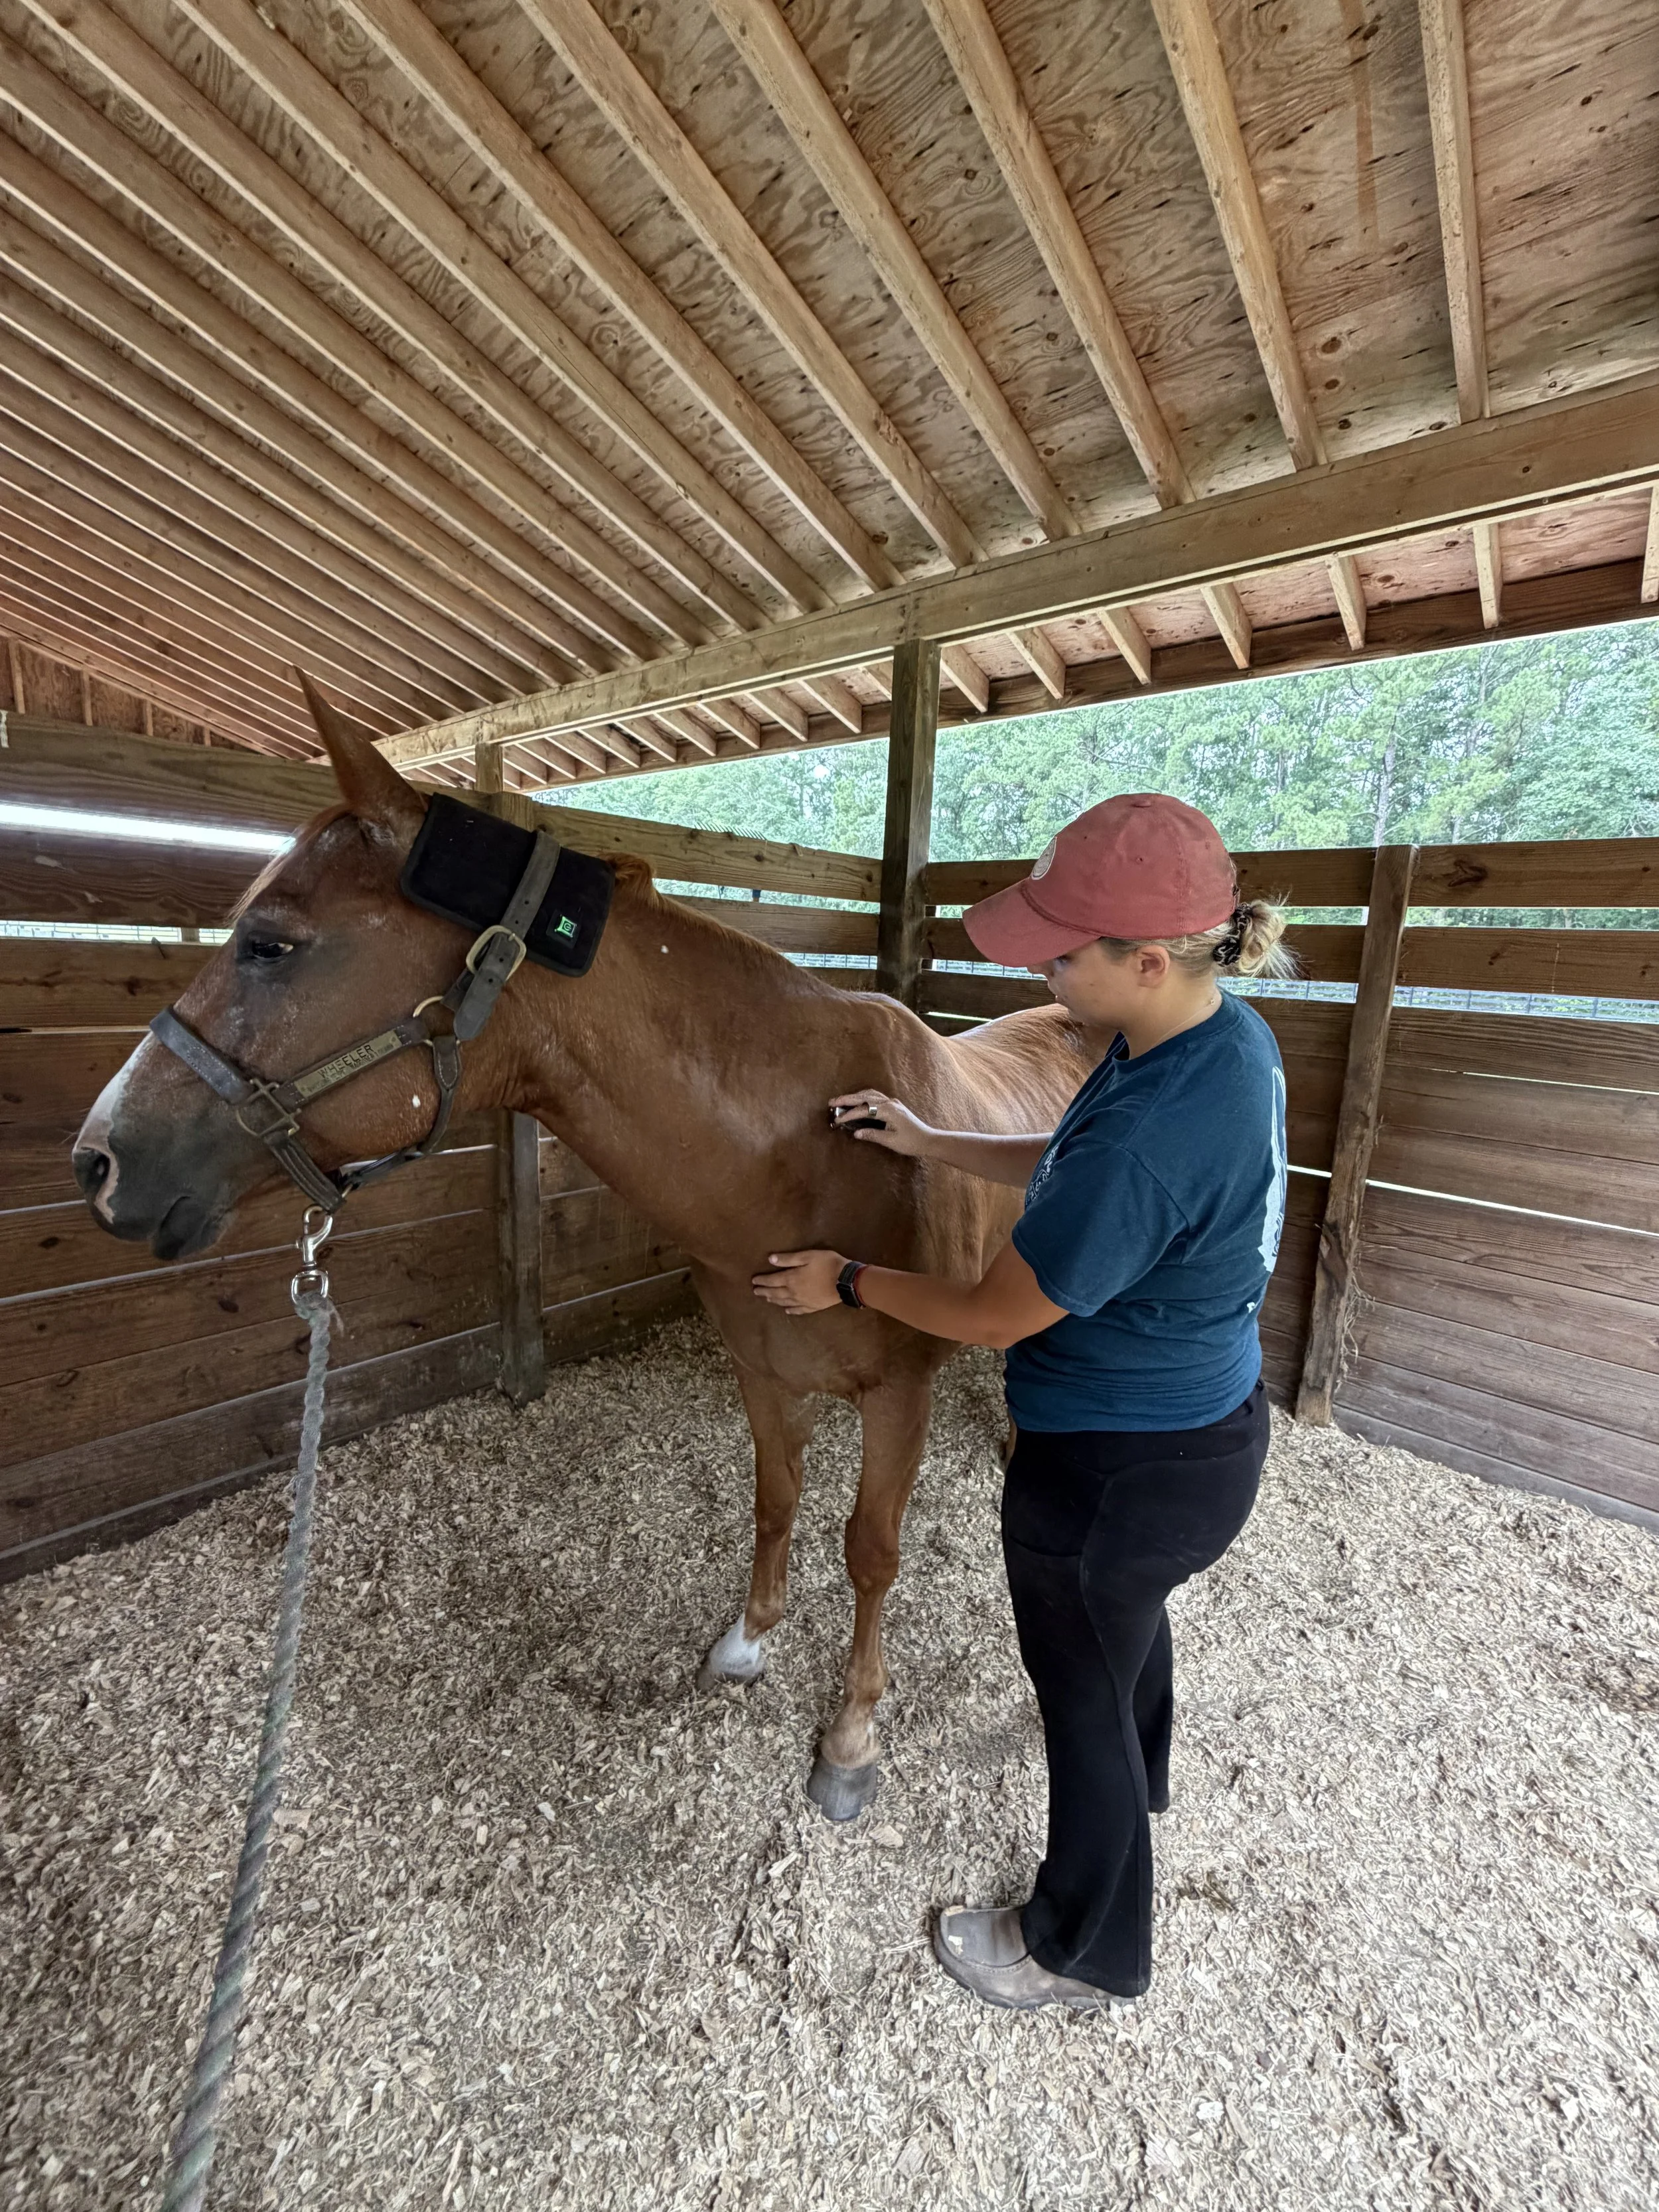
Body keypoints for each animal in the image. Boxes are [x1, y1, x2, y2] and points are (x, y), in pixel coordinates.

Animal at [72, 686, 1102, 1817]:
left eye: (268, 943)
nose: (97, 1161)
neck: (816, 1156)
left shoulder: (898, 1397)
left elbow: (872, 1554)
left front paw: (851, 1736)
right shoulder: (760, 1365)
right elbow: (777, 1498)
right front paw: (749, 1639)